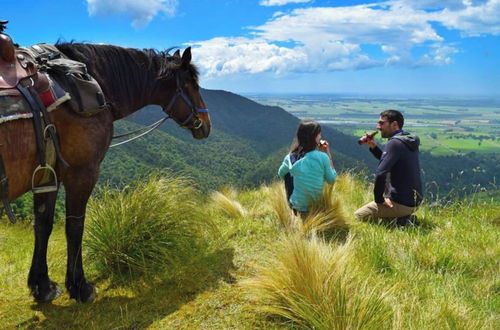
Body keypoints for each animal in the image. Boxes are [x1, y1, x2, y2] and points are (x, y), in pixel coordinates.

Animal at [0, 42, 211, 302]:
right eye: (192, 85)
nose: (206, 123)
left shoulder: (47, 174)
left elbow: (43, 225)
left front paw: (43, 286)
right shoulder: (82, 173)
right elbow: (75, 227)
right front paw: (79, 286)